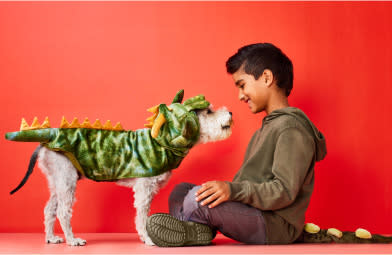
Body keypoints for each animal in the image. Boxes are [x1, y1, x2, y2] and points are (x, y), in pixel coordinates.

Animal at [9, 105, 231, 245]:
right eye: (209, 111)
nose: (229, 111)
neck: (163, 141)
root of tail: (46, 141)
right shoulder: (144, 188)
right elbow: (141, 216)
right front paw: (148, 239)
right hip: (67, 179)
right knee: (64, 212)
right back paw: (72, 240)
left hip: (57, 179)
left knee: (49, 209)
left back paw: (51, 238)